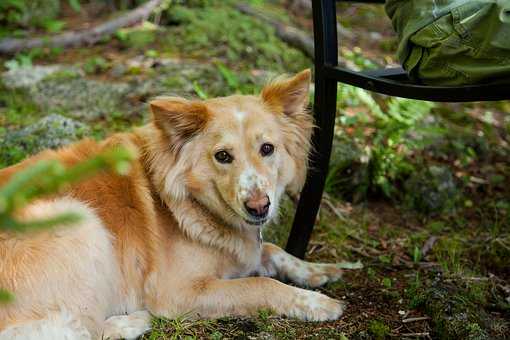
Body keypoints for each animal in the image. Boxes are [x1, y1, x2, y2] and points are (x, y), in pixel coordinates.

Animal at [0, 69, 352, 340]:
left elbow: (273, 250)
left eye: (268, 149)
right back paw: (131, 322)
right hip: (79, 222)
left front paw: (318, 270)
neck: (189, 201)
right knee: (78, 329)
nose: (258, 207)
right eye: (223, 156)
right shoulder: (178, 292)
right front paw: (316, 303)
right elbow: (261, 284)